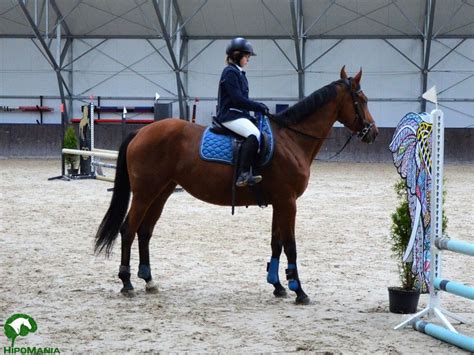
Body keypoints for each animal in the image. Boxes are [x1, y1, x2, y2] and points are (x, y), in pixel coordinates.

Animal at [94, 65, 380, 304]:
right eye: (363, 100)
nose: (374, 132)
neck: (291, 139)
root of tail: (141, 131)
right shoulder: (288, 202)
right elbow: (290, 245)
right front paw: (299, 290)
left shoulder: (280, 202)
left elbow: (276, 242)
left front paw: (277, 286)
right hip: (145, 193)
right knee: (128, 230)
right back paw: (127, 282)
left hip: (161, 193)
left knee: (145, 231)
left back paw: (149, 280)